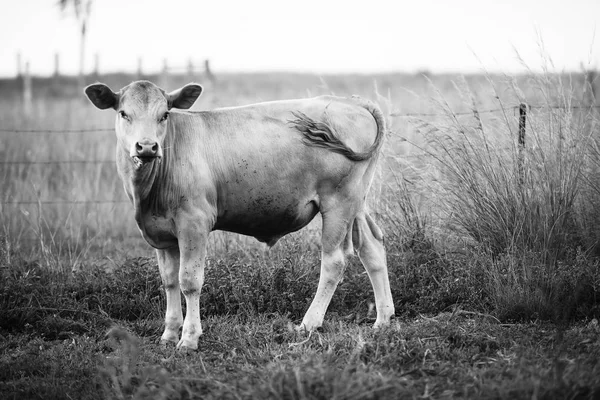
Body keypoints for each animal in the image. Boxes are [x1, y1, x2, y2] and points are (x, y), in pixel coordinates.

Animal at [83, 79, 394, 348]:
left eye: (164, 115)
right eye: (124, 113)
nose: (147, 146)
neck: (148, 194)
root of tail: (350, 101)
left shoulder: (194, 223)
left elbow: (189, 281)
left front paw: (189, 338)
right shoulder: (162, 232)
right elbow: (169, 281)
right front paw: (169, 333)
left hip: (338, 203)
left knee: (334, 261)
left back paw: (308, 323)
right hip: (357, 202)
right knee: (372, 247)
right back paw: (383, 320)